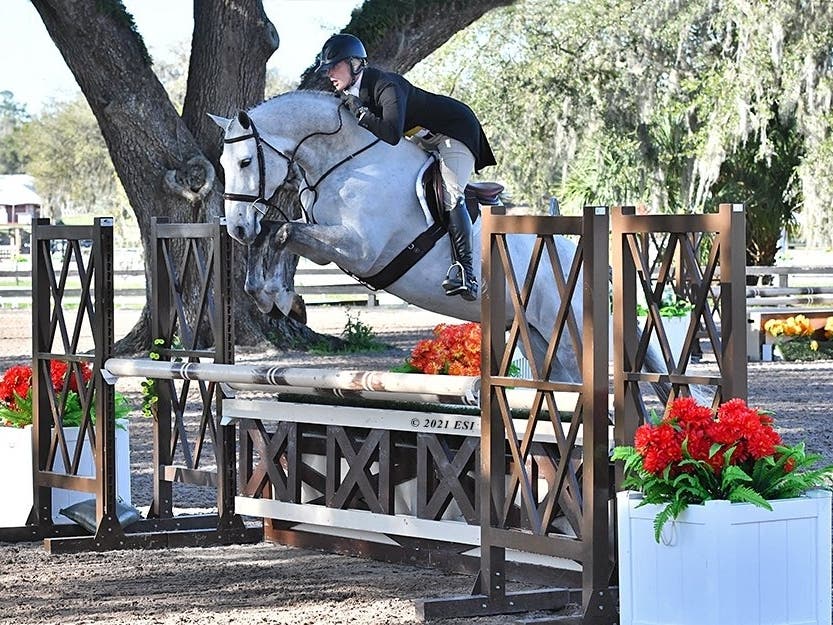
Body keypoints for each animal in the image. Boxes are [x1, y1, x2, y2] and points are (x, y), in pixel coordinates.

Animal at [210, 91, 615, 383]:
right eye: (224, 164)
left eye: (245, 162)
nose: (237, 227)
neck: (347, 161)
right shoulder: (327, 245)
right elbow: (275, 233)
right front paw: (271, 295)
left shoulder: (358, 249)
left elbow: (282, 230)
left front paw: (278, 296)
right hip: (539, 339)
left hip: (568, 338)